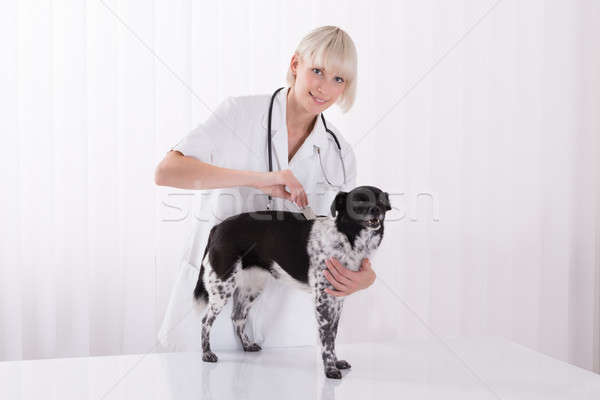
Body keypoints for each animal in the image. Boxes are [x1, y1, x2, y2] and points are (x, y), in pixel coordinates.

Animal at [192, 184, 392, 378]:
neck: (347, 238)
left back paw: (247, 345)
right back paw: (207, 353)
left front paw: (336, 362)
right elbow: (326, 338)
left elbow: (333, 335)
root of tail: (218, 228)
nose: (376, 210)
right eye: (359, 200)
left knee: (237, 317)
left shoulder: (337, 298)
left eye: (381, 201)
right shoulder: (323, 300)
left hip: (251, 288)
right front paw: (330, 368)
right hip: (222, 287)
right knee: (205, 321)